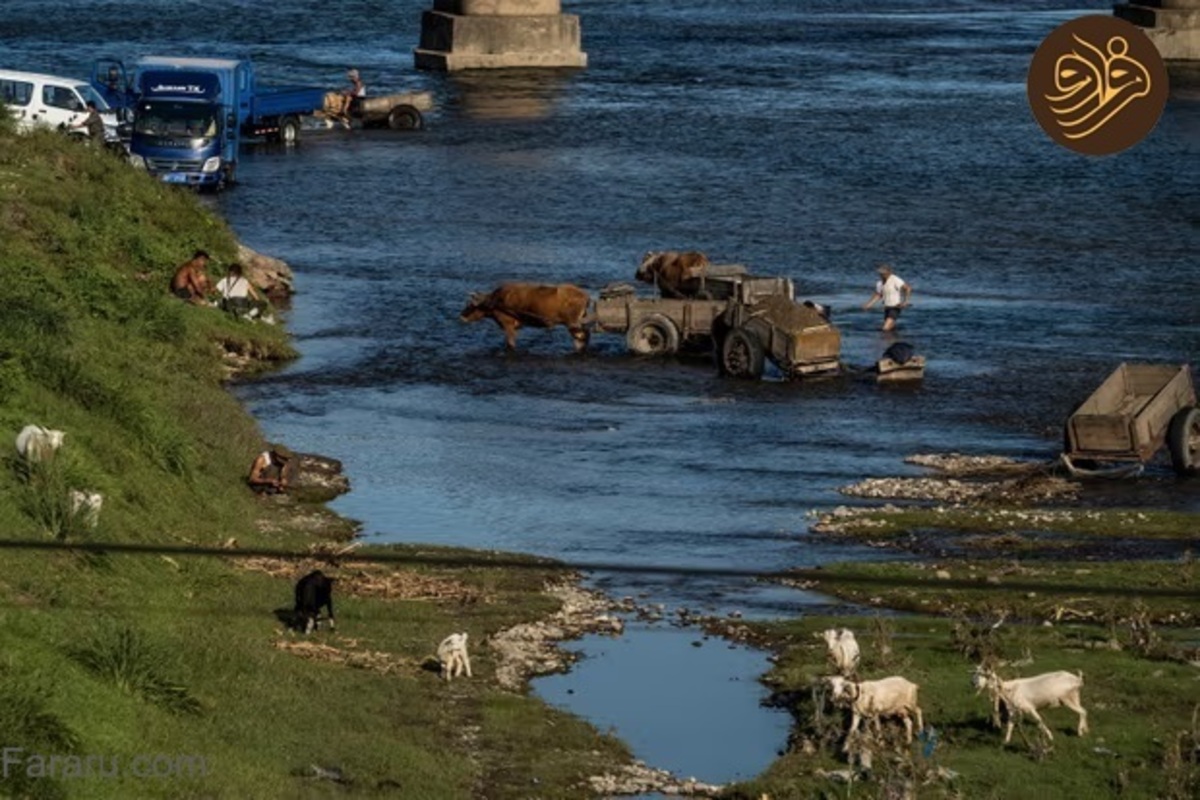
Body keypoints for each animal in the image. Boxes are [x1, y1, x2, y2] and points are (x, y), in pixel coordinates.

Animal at [458, 284, 590, 352]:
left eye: (471, 305)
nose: (461, 316)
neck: (494, 302)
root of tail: (585, 296)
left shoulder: (508, 325)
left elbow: (510, 343)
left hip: (572, 323)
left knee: (581, 336)